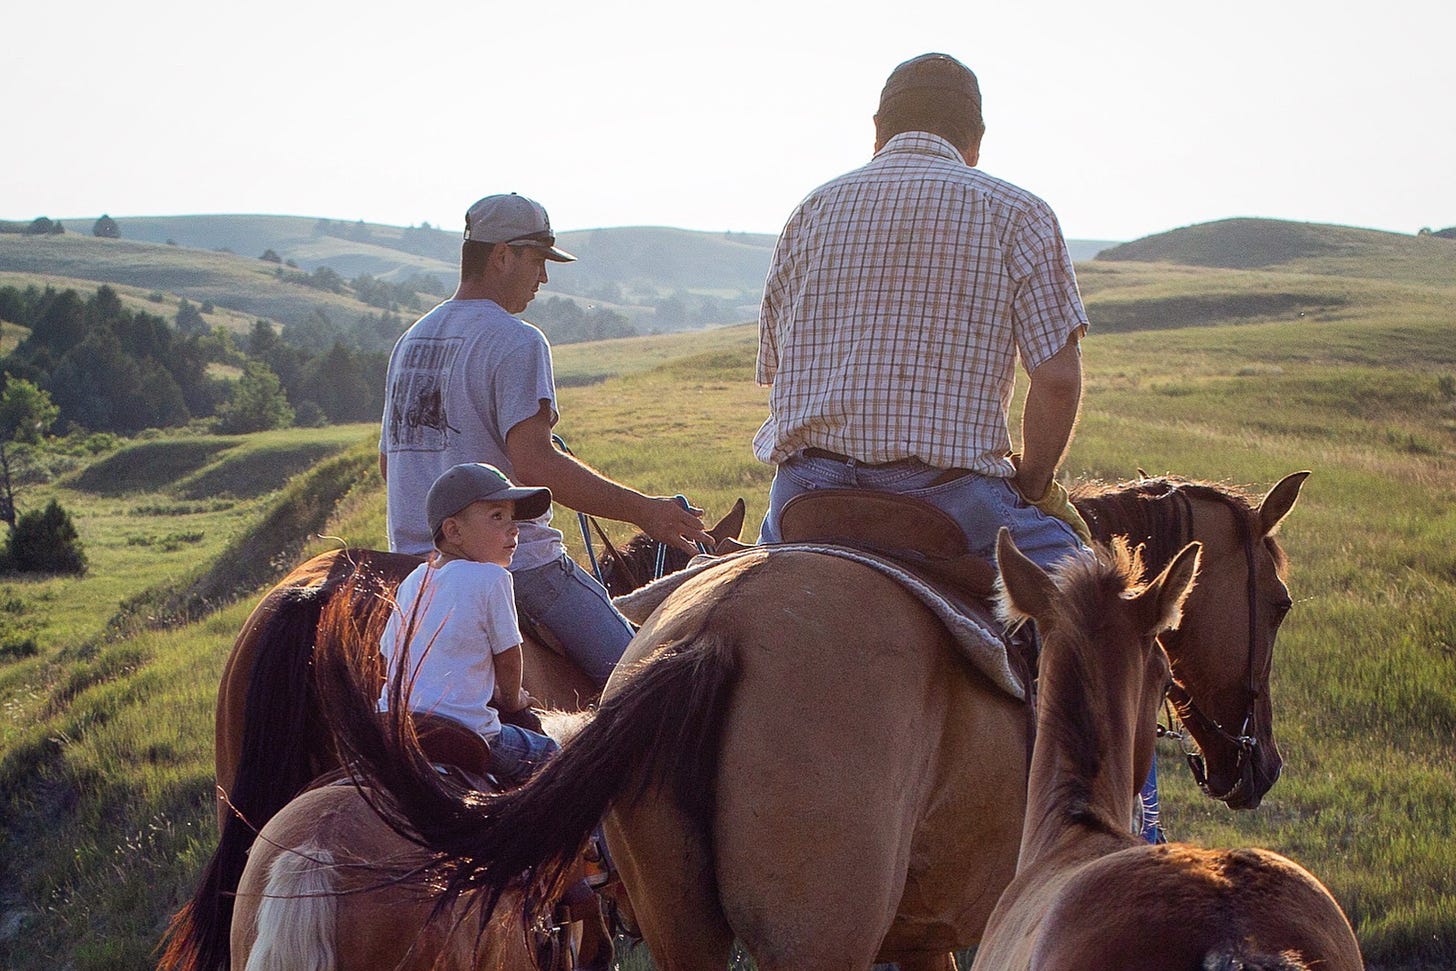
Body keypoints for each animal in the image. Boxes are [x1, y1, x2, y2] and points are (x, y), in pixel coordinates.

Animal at [315, 471, 1310, 971]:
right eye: (1281, 601)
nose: (1252, 763)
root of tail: (717, 632)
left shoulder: (922, 933)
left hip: (686, 932)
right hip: (811, 943)